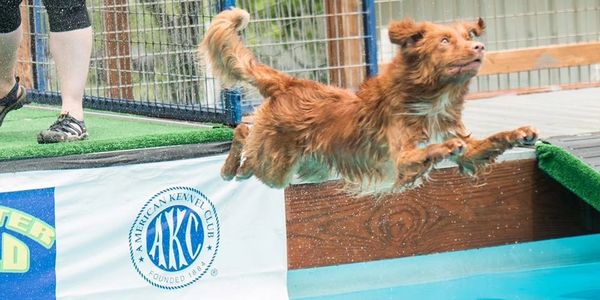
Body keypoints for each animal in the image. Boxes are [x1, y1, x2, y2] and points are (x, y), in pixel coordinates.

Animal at [202, 8, 540, 193]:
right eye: (445, 41)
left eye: (469, 36)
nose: (479, 47)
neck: (432, 101)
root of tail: (291, 83)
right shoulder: (400, 159)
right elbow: (427, 150)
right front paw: (443, 148)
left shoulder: (469, 155)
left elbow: (488, 142)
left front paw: (519, 133)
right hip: (273, 165)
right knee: (242, 133)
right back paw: (230, 169)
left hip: (307, 168)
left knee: (246, 134)